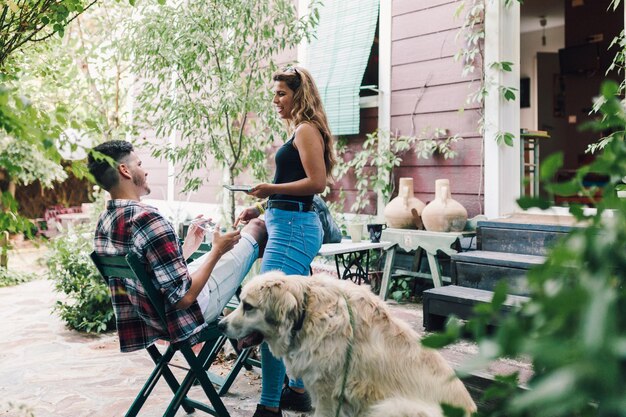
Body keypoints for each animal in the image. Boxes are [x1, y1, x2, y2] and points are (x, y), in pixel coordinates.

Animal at [217, 272, 476, 414]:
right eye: (241, 303)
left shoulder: (327, 395)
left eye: (248, 306)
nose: (220, 325)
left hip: (391, 406)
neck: (306, 313)